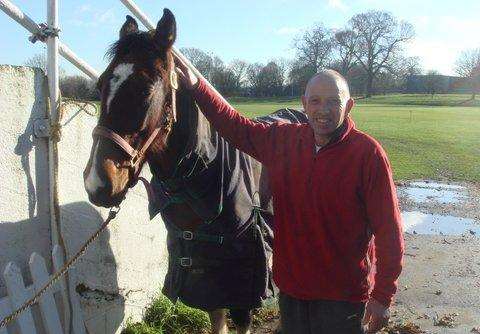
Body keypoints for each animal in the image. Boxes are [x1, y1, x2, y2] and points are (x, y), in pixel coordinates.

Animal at [83, 8, 306, 334]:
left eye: (146, 89)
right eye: (100, 85)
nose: (97, 183)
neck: (203, 172)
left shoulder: (242, 283)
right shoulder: (205, 278)